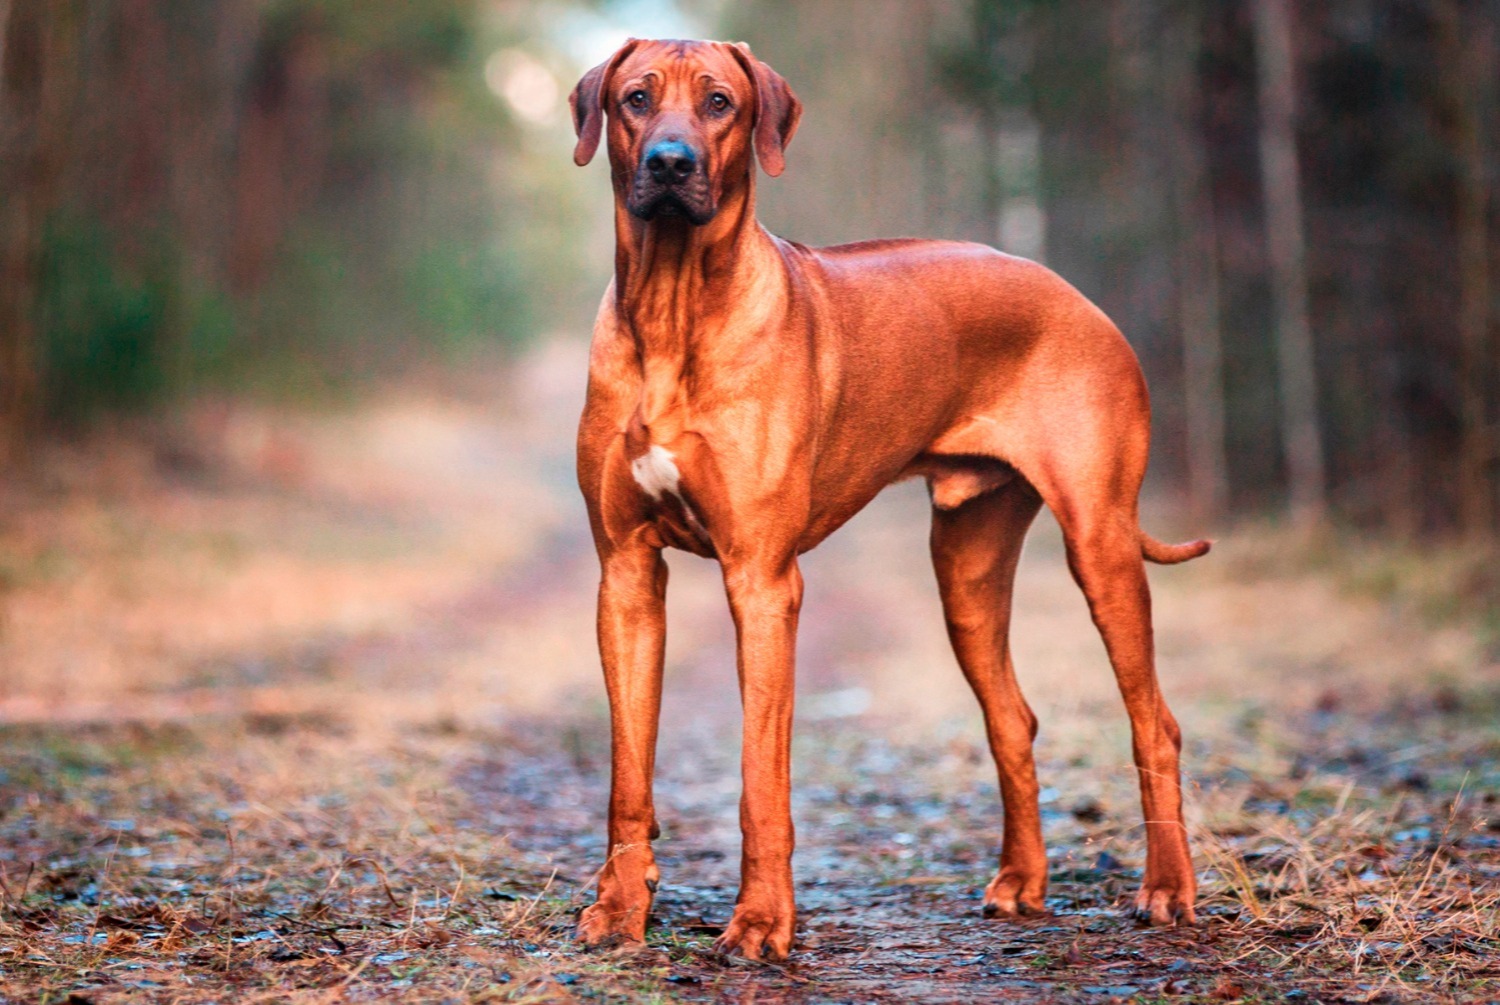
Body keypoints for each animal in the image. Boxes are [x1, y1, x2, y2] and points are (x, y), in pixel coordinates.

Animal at [567, 39, 1212, 966]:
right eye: (636, 99)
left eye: (720, 103)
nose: (670, 163)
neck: (674, 305)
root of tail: (1077, 295)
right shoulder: (623, 575)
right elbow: (628, 773)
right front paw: (620, 908)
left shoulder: (763, 582)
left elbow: (760, 781)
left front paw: (760, 922)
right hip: (966, 570)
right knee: (1013, 717)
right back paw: (1021, 882)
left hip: (1101, 542)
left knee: (1155, 721)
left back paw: (1166, 887)